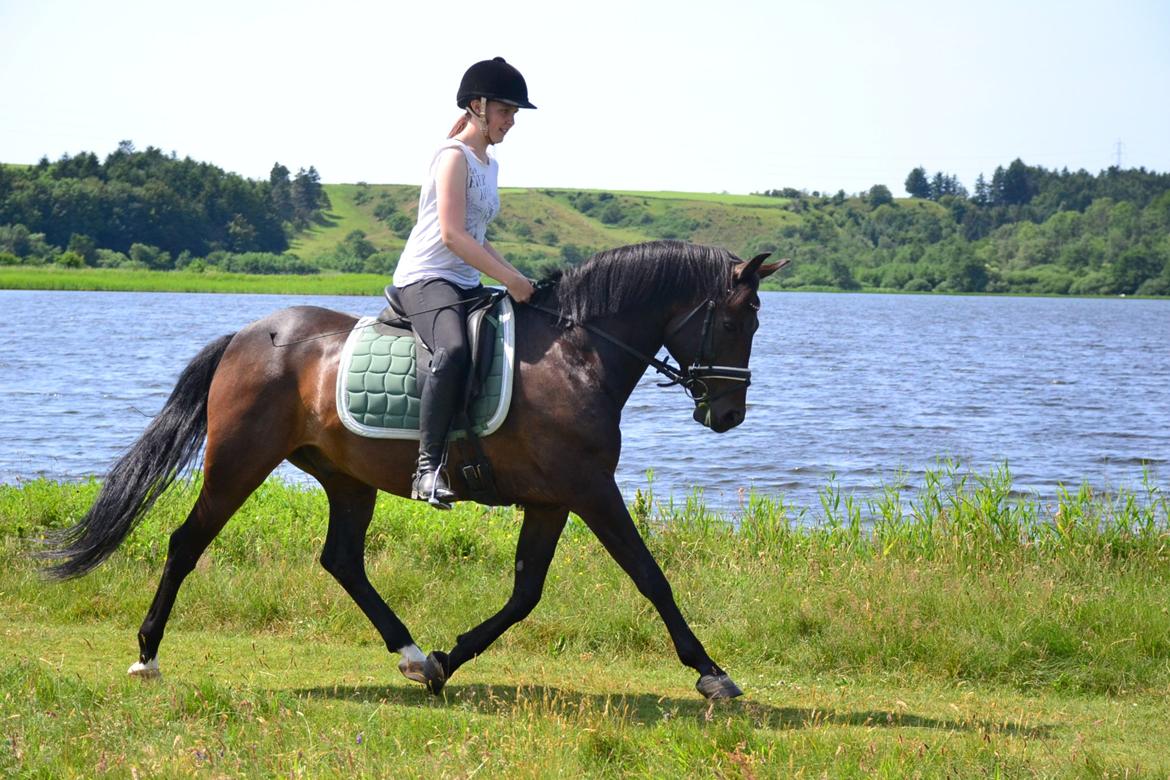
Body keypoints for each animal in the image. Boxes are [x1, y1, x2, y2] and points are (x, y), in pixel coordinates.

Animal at [46, 240, 780, 700]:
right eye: (739, 319)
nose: (728, 415)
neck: (577, 355)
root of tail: (248, 335)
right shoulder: (589, 489)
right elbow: (650, 576)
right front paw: (711, 672)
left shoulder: (553, 499)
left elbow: (525, 594)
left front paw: (444, 663)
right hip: (239, 462)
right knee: (186, 542)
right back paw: (147, 655)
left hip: (346, 477)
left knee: (342, 559)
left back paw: (409, 652)